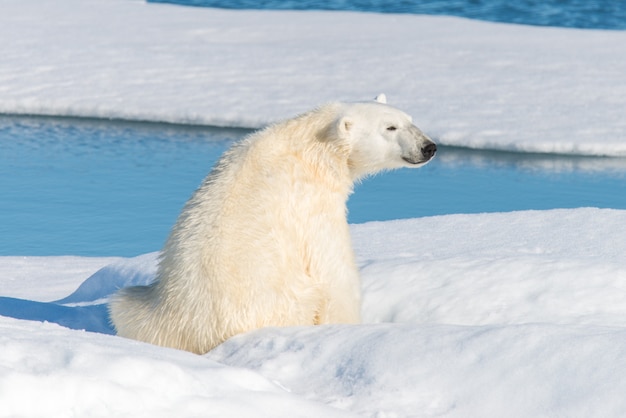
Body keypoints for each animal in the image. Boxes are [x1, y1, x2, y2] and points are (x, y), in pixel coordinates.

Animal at [108, 95, 434, 352]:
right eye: (390, 128)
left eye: (410, 120)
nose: (428, 146)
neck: (311, 149)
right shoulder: (311, 205)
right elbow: (333, 271)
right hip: (289, 302)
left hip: (148, 313)